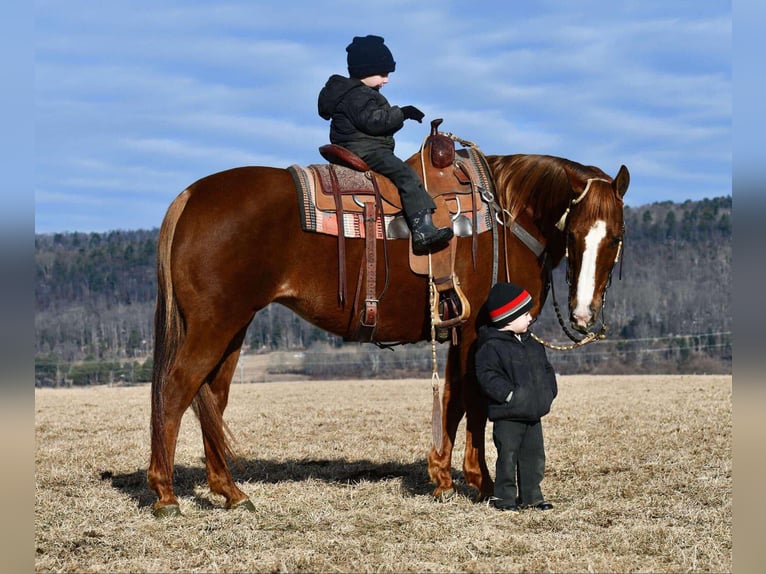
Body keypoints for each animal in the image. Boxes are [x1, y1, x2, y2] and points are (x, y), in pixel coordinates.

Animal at [146, 146, 632, 520]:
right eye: (575, 232)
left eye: (615, 237)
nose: (585, 313)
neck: (506, 218)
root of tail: (192, 195)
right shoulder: (478, 330)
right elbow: (476, 402)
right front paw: (481, 483)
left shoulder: (455, 331)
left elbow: (452, 400)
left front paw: (442, 479)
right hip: (214, 325)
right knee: (175, 391)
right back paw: (166, 494)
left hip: (233, 330)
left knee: (212, 399)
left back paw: (230, 492)